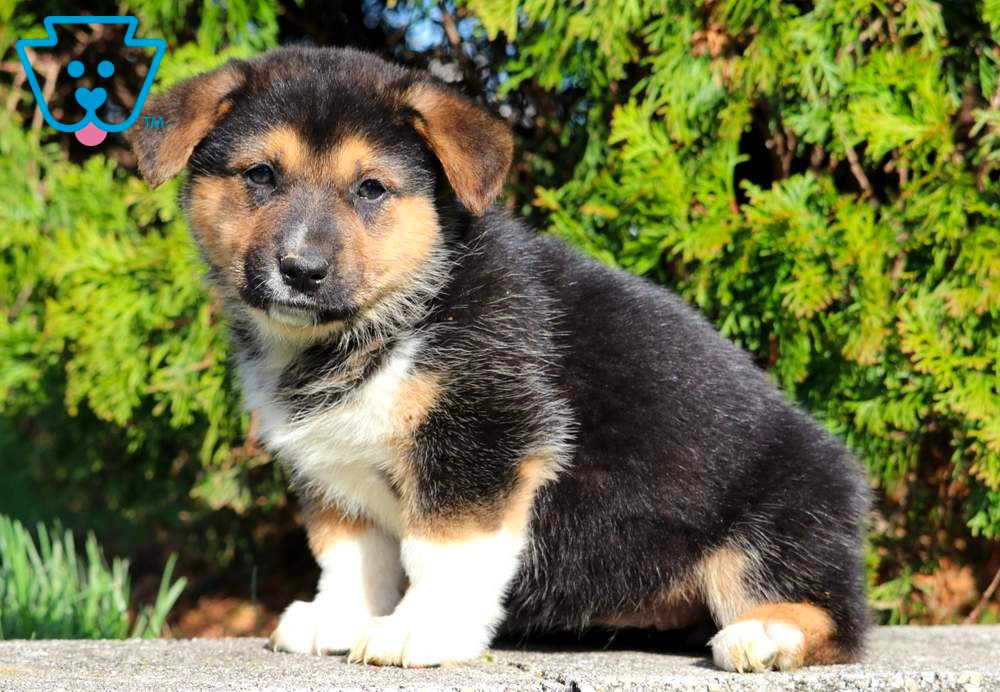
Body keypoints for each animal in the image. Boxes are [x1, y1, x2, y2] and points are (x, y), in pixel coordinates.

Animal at [131, 47, 868, 672]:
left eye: (371, 189)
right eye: (260, 175)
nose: (301, 270)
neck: (378, 327)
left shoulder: (482, 436)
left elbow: (441, 551)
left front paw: (416, 631)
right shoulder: (335, 467)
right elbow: (351, 552)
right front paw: (340, 619)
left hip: (779, 518)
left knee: (837, 620)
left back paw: (764, 634)